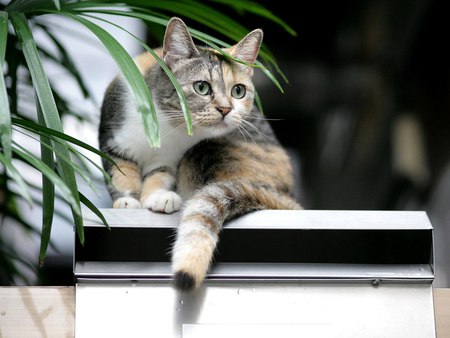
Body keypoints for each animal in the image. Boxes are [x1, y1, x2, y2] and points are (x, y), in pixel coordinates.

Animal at [99, 16, 302, 290]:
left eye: (238, 91)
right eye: (202, 87)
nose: (226, 109)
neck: (166, 124)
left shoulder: (171, 159)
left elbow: (159, 175)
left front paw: (160, 197)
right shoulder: (112, 139)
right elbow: (121, 172)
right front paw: (128, 200)